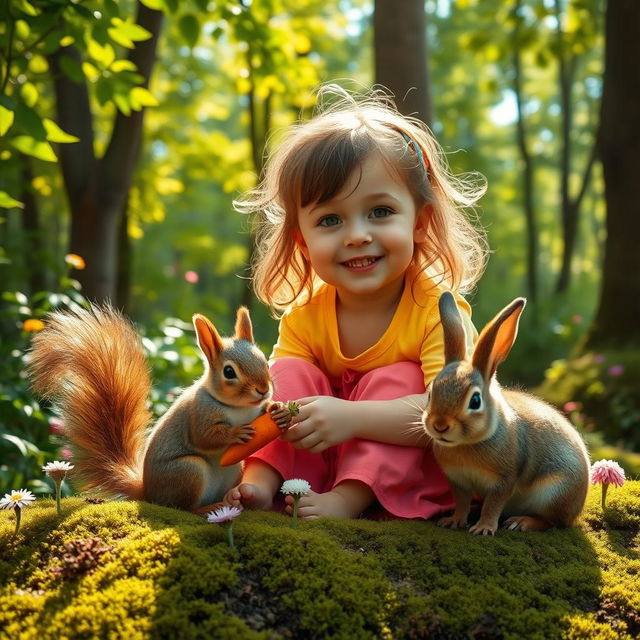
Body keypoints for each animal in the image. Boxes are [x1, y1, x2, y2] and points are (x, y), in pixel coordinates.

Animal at [28, 304, 290, 510]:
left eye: (263, 360)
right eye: (229, 372)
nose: (263, 389)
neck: (239, 408)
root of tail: (148, 493)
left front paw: (278, 409)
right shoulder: (199, 413)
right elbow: (204, 437)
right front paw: (236, 432)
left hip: (234, 469)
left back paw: (230, 500)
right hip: (188, 471)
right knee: (184, 507)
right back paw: (208, 508)